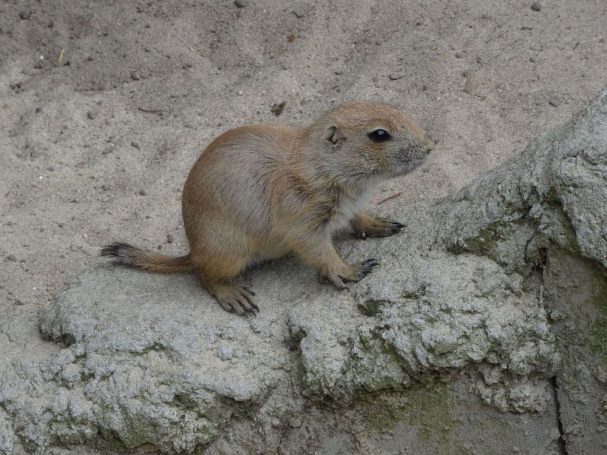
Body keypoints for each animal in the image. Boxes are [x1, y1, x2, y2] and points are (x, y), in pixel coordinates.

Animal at [102, 102, 434, 315]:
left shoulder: (348, 206)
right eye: (379, 134)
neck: (320, 167)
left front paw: (382, 224)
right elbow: (318, 249)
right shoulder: (302, 217)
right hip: (228, 251)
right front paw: (350, 269)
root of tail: (193, 251)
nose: (431, 145)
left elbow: (357, 219)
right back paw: (234, 296)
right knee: (204, 275)